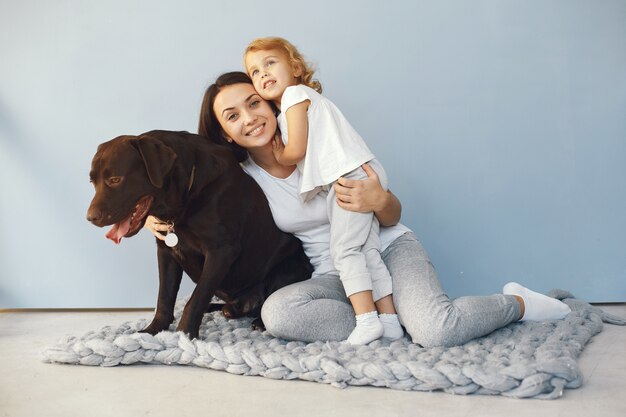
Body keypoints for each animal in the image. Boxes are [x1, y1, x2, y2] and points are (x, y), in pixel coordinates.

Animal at [86, 129, 310, 338]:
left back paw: (259, 321)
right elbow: (164, 297)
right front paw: (153, 330)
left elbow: (196, 298)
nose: (90, 218)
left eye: (115, 179)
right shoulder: (166, 250)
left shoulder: (221, 251)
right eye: (92, 182)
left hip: (289, 268)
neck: (185, 197)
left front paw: (184, 335)